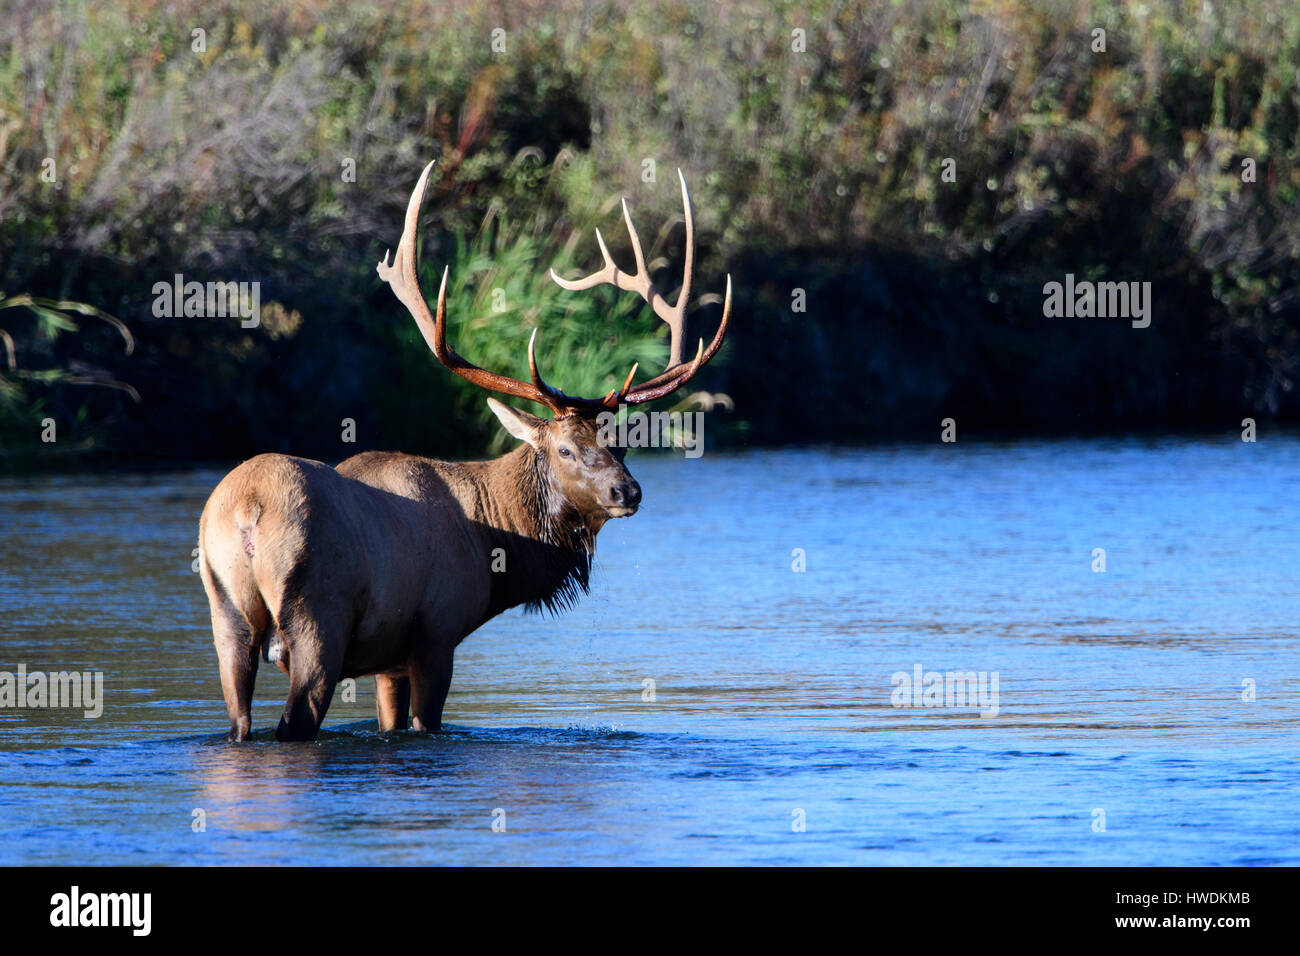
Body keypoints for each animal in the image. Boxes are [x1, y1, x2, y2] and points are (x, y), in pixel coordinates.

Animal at [197, 161, 730, 741]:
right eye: (565, 449)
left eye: (622, 445)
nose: (627, 491)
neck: (495, 541)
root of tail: (247, 510)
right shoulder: (437, 633)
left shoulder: (389, 661)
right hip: (317, 619)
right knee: (295, 721)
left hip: (224, 612)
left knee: (239, 717)